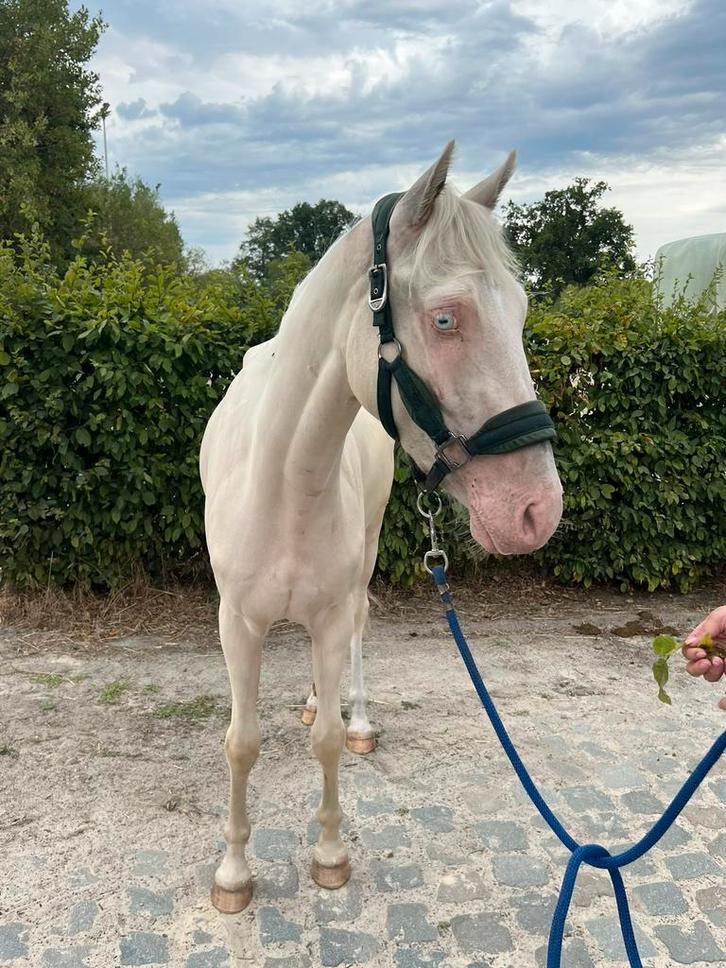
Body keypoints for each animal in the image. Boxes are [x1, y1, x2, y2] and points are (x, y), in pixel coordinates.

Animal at [199, 141, 563, 913]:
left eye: (520, 310)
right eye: (447, 318)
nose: (536, 509)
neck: (287, 482)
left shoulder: (334, 612)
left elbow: (331, 742)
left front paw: (330, 854)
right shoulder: (236, 623)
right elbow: (241, 743)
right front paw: (234, 872)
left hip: (360, 568)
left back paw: (355, 714)